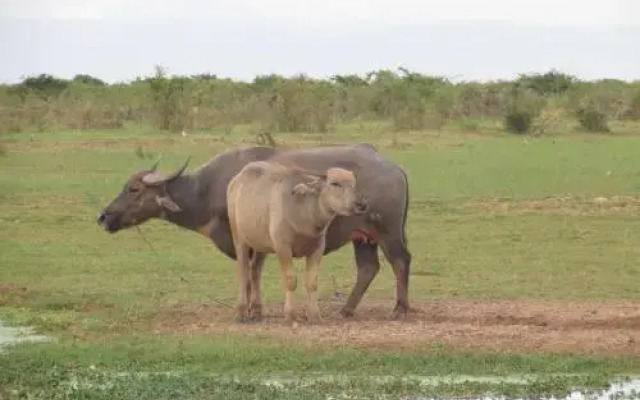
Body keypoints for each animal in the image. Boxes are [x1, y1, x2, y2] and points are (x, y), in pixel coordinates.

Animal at [97, 144, 412, 318]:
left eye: (133, 189)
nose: (103, 216)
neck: (208, 189)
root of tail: (394, 167)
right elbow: (255, 273)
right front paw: (256, 309)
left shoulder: (245, 240)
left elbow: (249, 273)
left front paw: (250, 310)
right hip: (363, 237)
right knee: (368, 268)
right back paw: (347, 310)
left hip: (387, 231)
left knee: (400, 261)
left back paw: (400, 308)